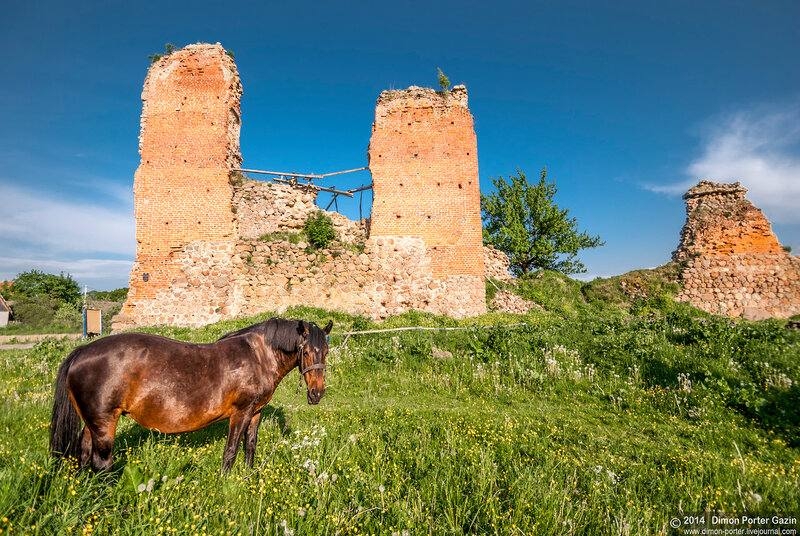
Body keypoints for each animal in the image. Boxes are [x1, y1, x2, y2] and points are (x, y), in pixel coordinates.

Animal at [50, 316, 332, 472]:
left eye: (326, 352)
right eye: (307, 352)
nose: (316, 394)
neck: (258, 356)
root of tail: (82, 351)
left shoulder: (256, 413)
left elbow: (250, 447)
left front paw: (248, 477)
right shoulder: (241, 413)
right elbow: (231, 450)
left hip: (92, 424)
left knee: (84, 453)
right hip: (104, 423)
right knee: (101, 463)